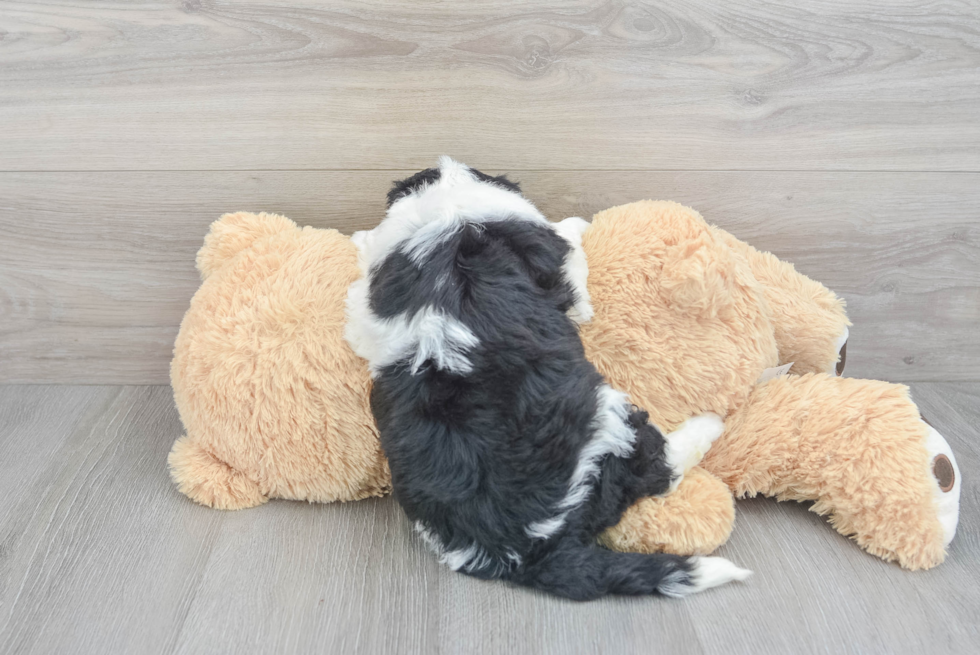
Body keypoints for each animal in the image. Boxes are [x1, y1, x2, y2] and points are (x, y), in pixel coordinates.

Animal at [346, 159, 752, 600]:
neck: (453, 209)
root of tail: (524, 550)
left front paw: (360, 238)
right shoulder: (561, 264)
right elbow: (572, 245)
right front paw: (579, 221)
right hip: (610, 424)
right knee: (659, 469)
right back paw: (708, 423)